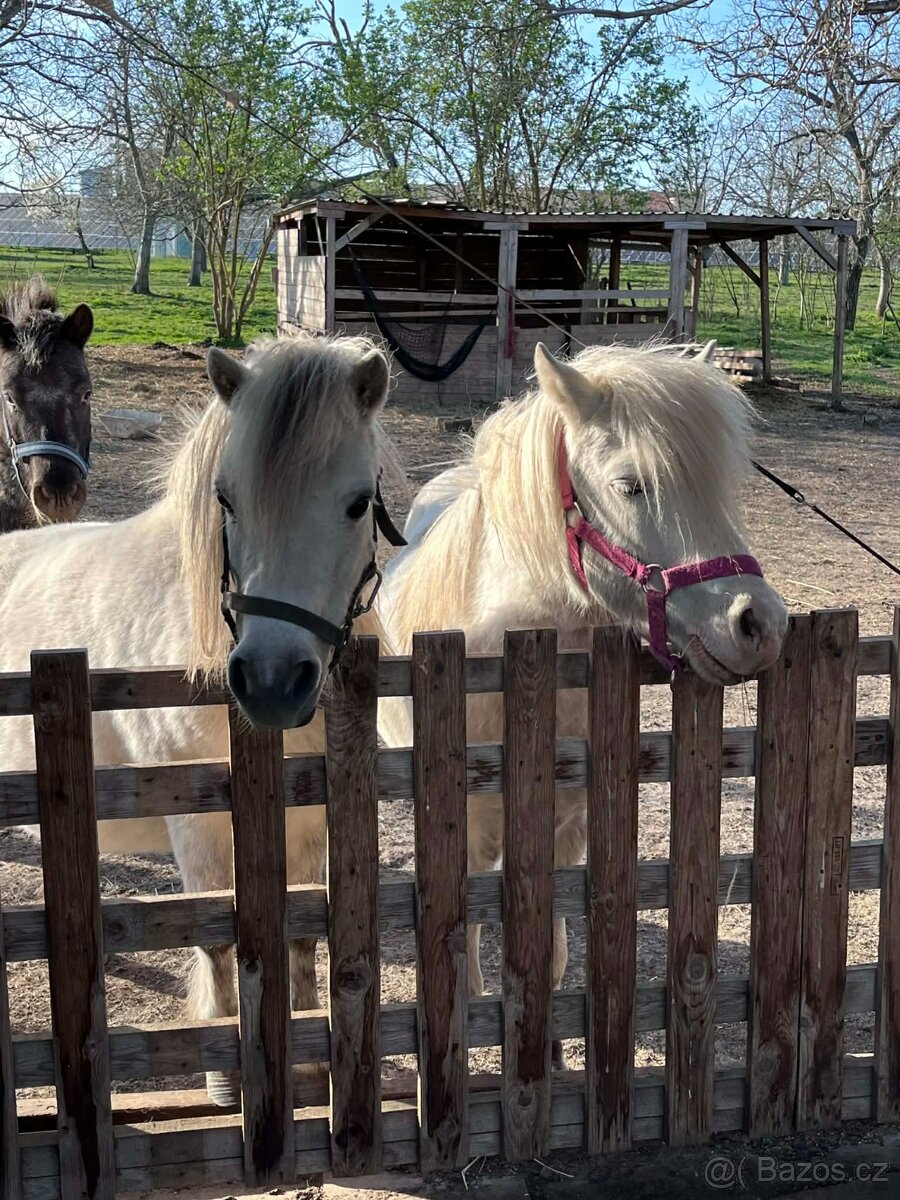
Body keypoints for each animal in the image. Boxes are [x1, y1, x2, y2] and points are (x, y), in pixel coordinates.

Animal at [3, 330, 396, 1103]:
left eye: (357, 503)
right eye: (227, 500)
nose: (271, 681)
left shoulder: (310, 827)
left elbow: (302, 935)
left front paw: (310, 1065)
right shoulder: (201, 832)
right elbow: (216, 940)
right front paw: (225, 1083)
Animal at [377, 340, 789, 1031]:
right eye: (630, 485)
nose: (760, 624)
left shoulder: (570, 830)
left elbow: (553, 959)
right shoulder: (466, 833)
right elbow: (467, 945)